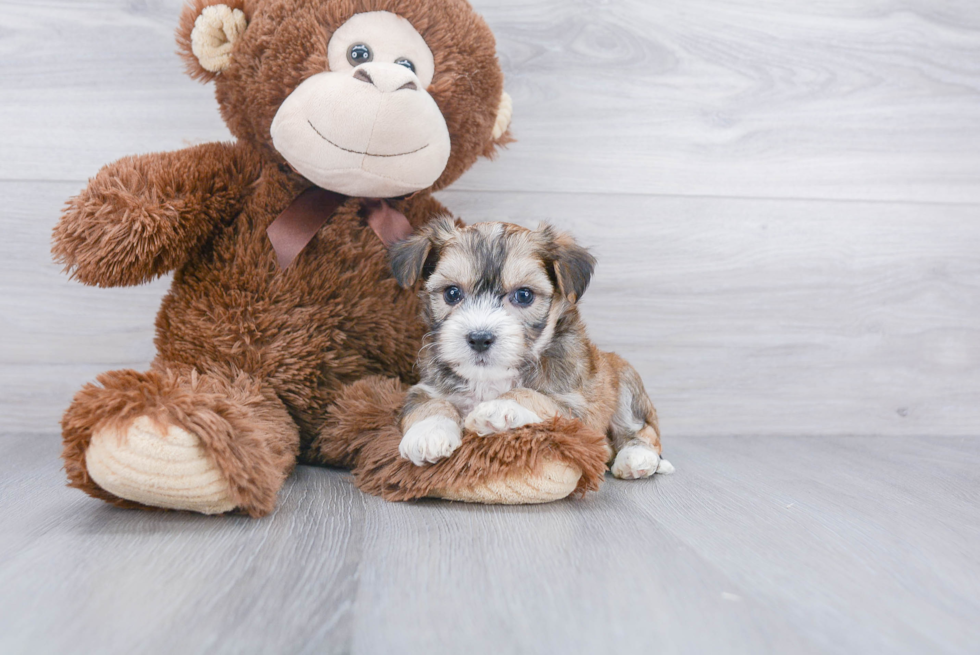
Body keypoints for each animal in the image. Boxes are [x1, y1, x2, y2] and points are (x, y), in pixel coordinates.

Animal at [390, 218, 672, 480]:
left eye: (524, 295)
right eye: (452, 293)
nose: (479, 338)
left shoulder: (580, 412)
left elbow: (532, 395)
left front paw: (499, 407)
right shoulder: (424, 388)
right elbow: (430, 403)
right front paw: (428, 433)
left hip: (624, 379)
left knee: (642, 430)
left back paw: (636, 457)